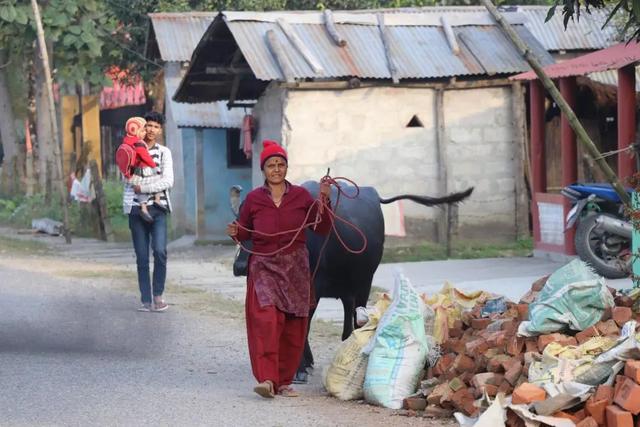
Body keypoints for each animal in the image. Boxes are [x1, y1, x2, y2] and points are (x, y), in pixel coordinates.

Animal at [232, 182, 472, 382]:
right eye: (244, 222)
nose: (241, 266)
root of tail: (371, 192)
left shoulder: (313, 288)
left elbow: (304, 324)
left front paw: (299, 368)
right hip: (349, 286)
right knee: (349, 312)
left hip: (365, 281)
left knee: (356, 316)